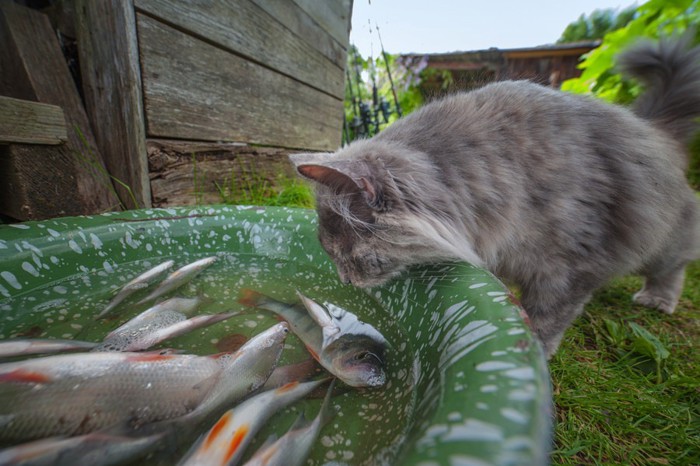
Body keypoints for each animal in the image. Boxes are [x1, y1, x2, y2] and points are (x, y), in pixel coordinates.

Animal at [288, 35, 700, 356]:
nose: (343, 282)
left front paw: (538, 352)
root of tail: (655, 129)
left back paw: (658, 298)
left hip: (662, 240)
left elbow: (547, 319)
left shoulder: (572, 266)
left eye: (348, 256)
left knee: (675, 262)